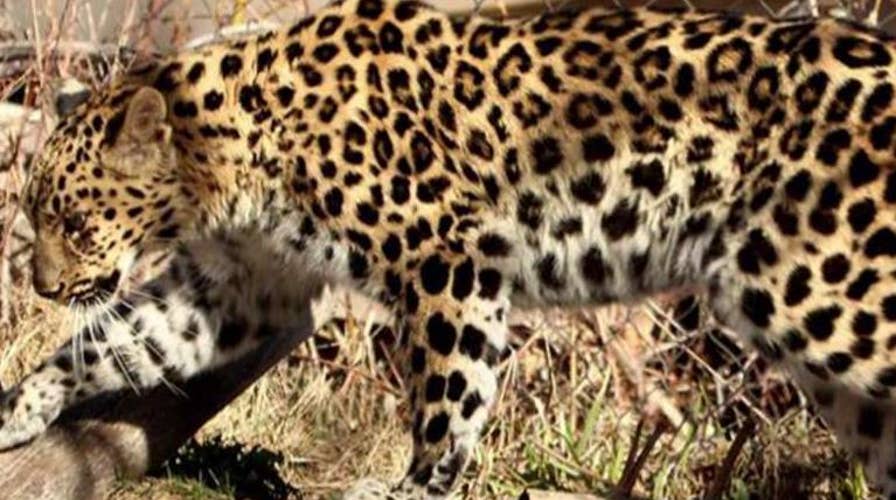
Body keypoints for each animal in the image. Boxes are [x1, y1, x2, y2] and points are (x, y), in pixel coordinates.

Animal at [5, 0, 896, 497]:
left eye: (73, 221)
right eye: (36, 214)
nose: (42, 287)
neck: (230, 159)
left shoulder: (448, 260)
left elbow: (450, 391)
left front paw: (415, 486)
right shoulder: (239, 286)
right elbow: (122, 343)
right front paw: (20, 407)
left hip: (822, 293)